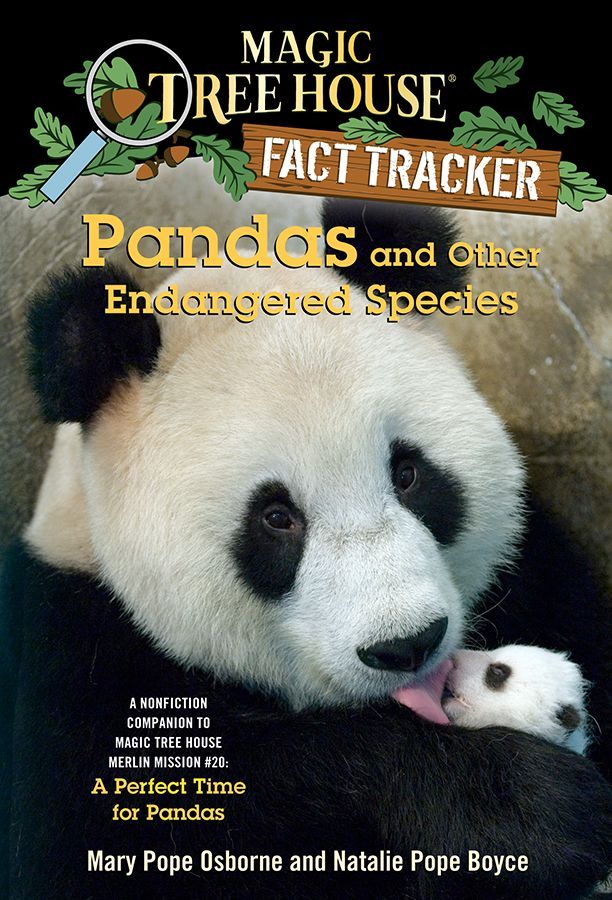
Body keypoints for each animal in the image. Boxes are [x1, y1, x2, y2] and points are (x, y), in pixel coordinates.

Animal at [2, 196, 611, 900]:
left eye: (408, 474)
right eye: (276, 518)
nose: (407, 644)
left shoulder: (539, 571)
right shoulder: (72, 650)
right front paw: (522, 806)